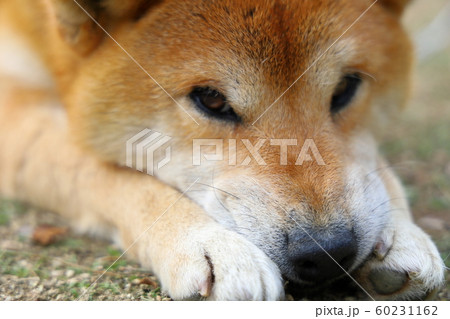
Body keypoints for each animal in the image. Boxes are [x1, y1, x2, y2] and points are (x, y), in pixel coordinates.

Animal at [0, 0, 444, 302]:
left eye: (346, 88)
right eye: (212, 100)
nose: (328, 252)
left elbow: (373, 165)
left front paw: (400, 228)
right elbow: (102, 172)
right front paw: (204, 240)